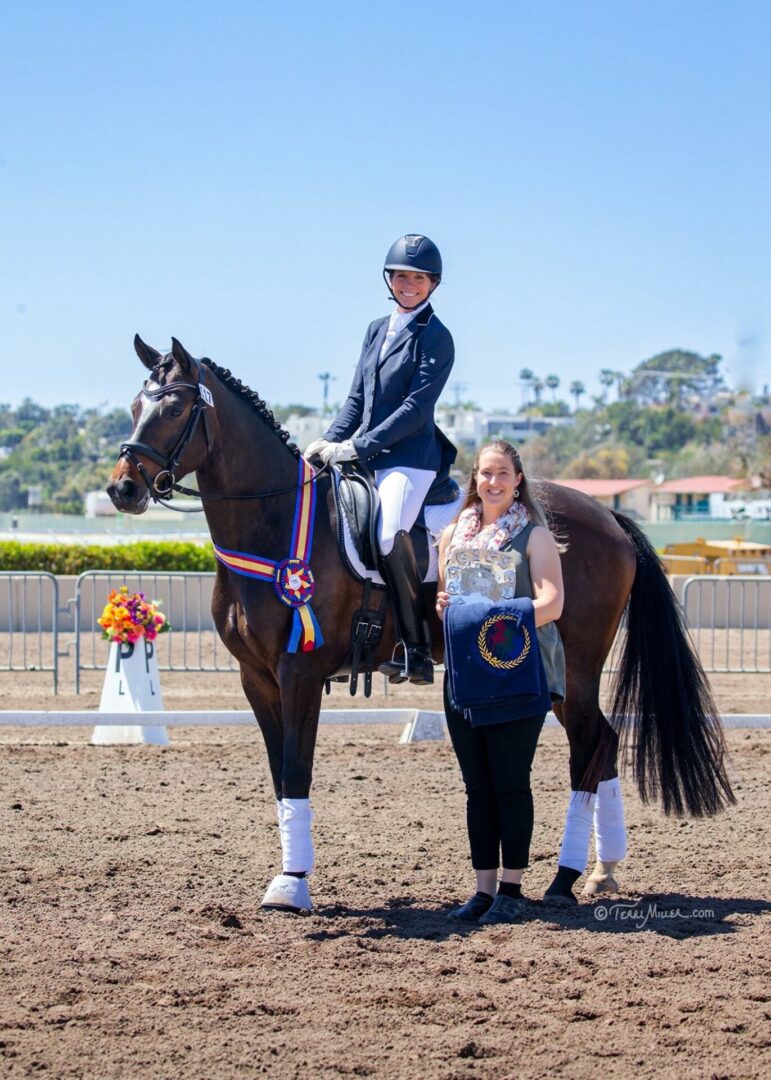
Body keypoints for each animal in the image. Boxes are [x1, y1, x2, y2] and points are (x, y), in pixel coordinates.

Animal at [107, 336, 735, 912]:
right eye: (136, 405)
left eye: (174, 408)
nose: (123, 488)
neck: (275, 519)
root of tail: (607, 514)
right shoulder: (255, 678)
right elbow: (279, 778)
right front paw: (286, 877)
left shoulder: (299, 673)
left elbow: (296, 771)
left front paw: (293, 885)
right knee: (602, 743)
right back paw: (602, 873)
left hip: (574, 668)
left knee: (593, 743)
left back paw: (565, 878)